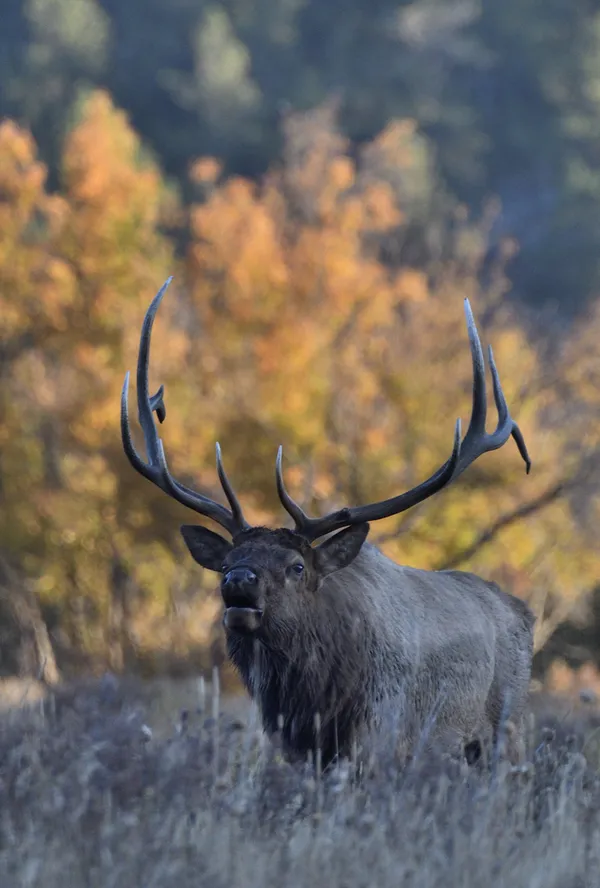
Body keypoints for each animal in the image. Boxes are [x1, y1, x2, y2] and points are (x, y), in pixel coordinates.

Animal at [121, 278, 535, 769]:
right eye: (225, 563)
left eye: (297, 566)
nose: (239, 580)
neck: (315, 701)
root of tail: (524, 613)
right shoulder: (297, 749)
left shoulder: (380, 733)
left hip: (505, 731)